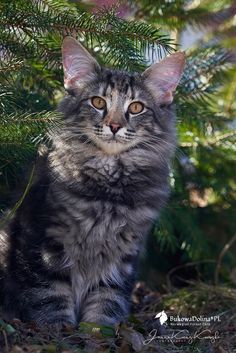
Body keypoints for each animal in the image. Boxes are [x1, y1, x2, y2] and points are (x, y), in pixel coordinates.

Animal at [0, 37, 184, 326]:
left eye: (136, 107)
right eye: (98, 102)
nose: (114, 125)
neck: (108, 193)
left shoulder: (123, 256)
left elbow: (106, 302)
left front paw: (95, 330)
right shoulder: (44, 243)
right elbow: (50, 296)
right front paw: (61, 329)